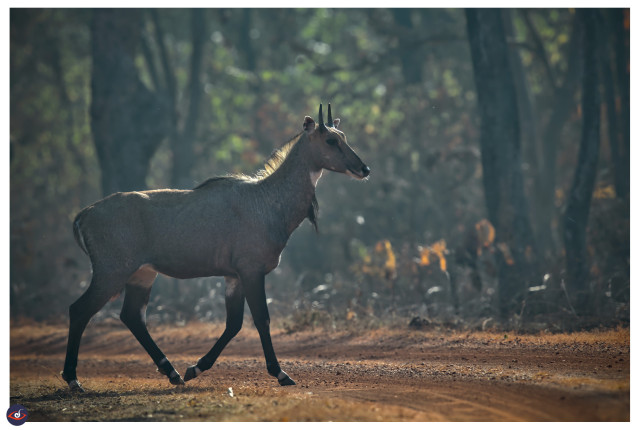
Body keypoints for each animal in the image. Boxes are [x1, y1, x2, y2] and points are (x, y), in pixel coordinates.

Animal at [61, 103, 370, 390]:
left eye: (343, 136)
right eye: (331, 140)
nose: (364, 168)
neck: (268, 201)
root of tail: (83, 215)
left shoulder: (233, 276)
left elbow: (234, 324)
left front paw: (194, 368)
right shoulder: (251, 270)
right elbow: (262, 319)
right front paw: (281, 374)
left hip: (142, 274)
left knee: (132, 316)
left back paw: (172, 373)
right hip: (111, 272)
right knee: (80, 310)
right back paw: (73, 379)